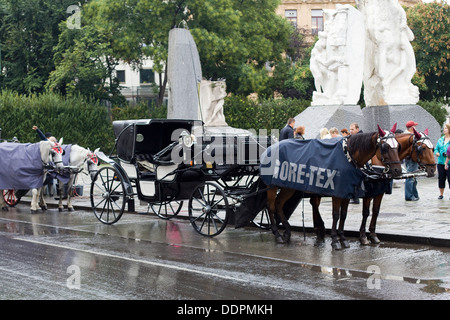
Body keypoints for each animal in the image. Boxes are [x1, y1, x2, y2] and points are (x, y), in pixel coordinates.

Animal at [266, 125, 402, 250]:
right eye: (385, 147)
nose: (398, 170)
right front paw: (336, 240)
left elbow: (345, 214)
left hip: (288, 188)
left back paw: (288, 231)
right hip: (271, 186)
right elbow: (337, 215)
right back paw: (277, 234)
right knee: (270, 207)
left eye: (398, 146)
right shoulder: (339, 192)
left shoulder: (348, 191)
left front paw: (343, 238)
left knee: (279, 204)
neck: (348, 156)